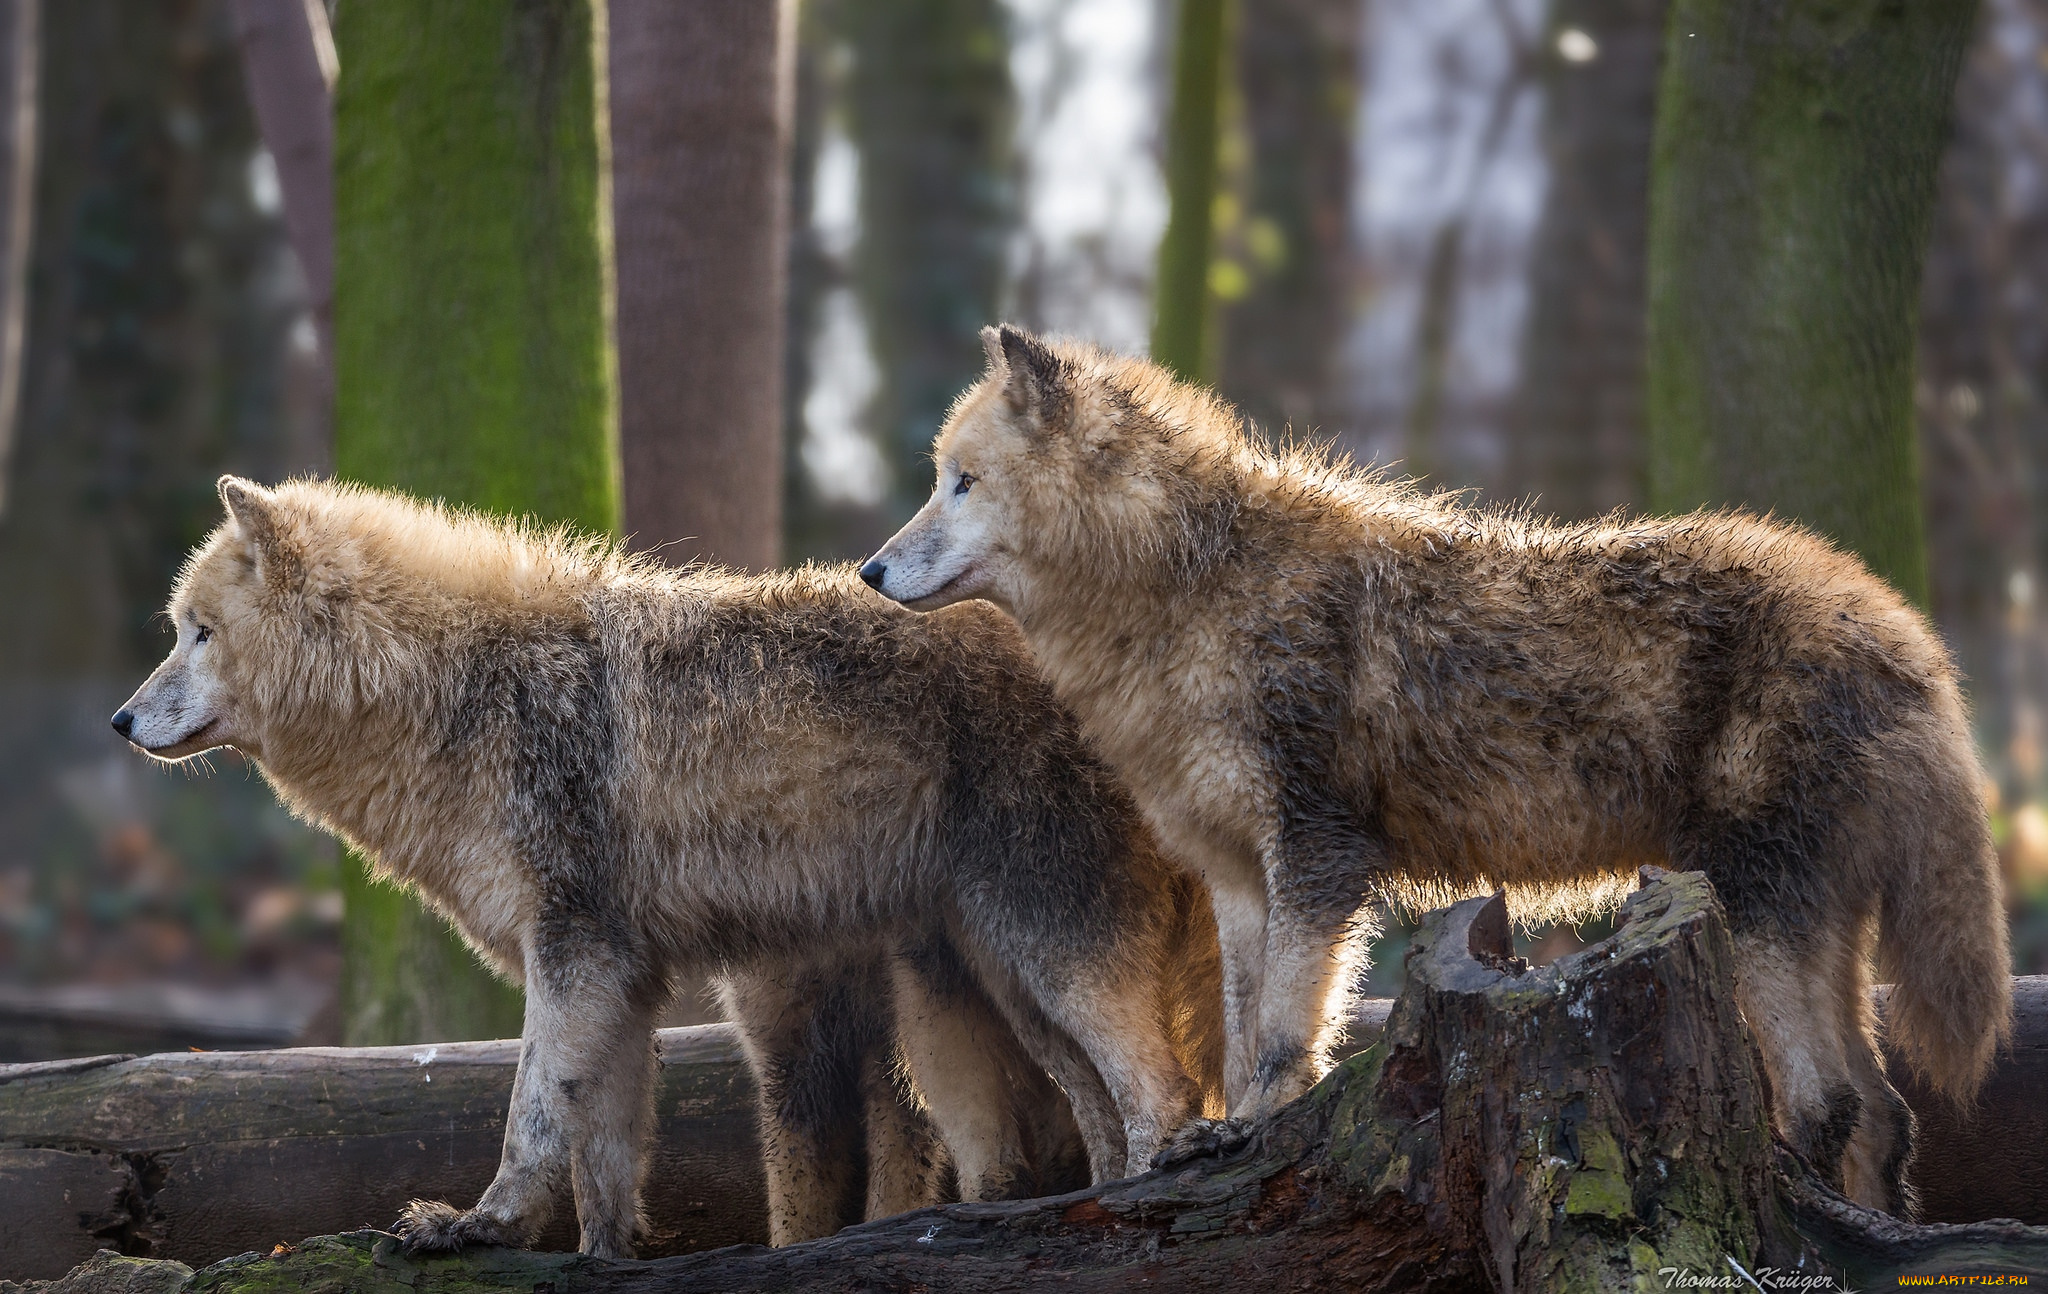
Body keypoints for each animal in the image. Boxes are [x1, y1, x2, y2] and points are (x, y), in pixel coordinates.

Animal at [112, 475, 1220, 1253]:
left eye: (197, 634)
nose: (121, 721)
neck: (459, 692)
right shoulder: (622, 975)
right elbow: (603, 1154)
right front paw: (596, 1258)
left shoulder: (572, 957)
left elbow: (531, 1114)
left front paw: (479, 1226)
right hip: (1000, 978)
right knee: (1102, 1115)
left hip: (1041, 956)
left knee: (1160, 1094)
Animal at [860, 323, 2015, 1212]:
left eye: (960, 483)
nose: (868, 569)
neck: (1189, 586)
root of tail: (1901, 630)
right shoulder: (1239, 876)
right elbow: (1239, 1033)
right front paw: (1226, 1140)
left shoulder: (1319, 859)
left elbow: (1279, 1038)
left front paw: (1255, 1138)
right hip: (1805, 926)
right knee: (1881, 1111)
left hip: (1760, 912)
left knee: (1826, 1103)